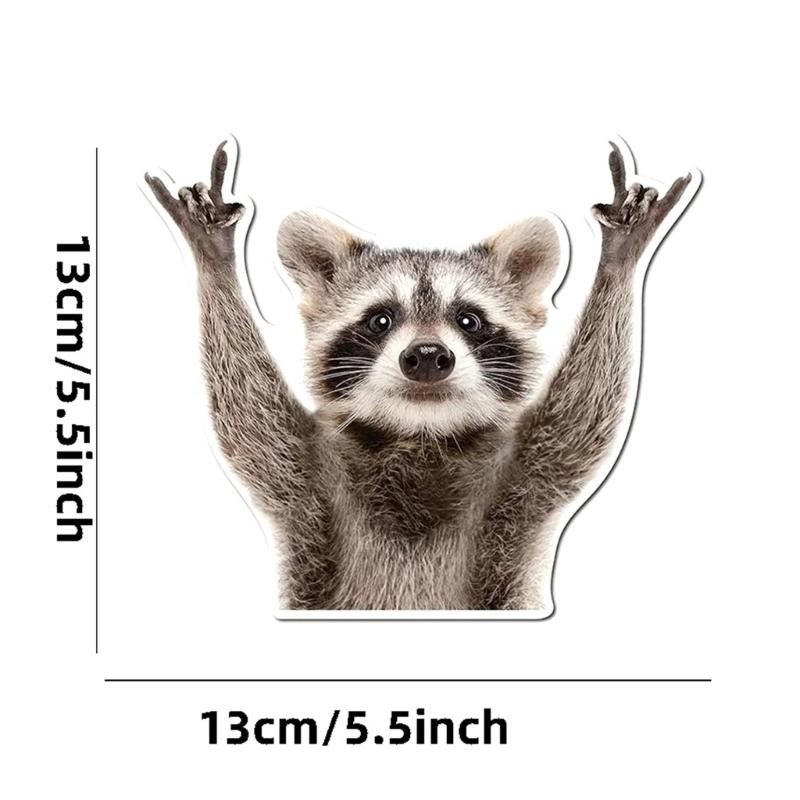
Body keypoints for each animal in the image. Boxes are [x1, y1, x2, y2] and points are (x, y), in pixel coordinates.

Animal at [145, 141, 695, 611]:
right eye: (380, 319)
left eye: (469, 320)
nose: (428, 356)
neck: (420, 434)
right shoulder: (306, 480)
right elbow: (248, 417)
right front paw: (214, 259)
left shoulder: (524, 480)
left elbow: (583, 418)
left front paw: (619, 260)